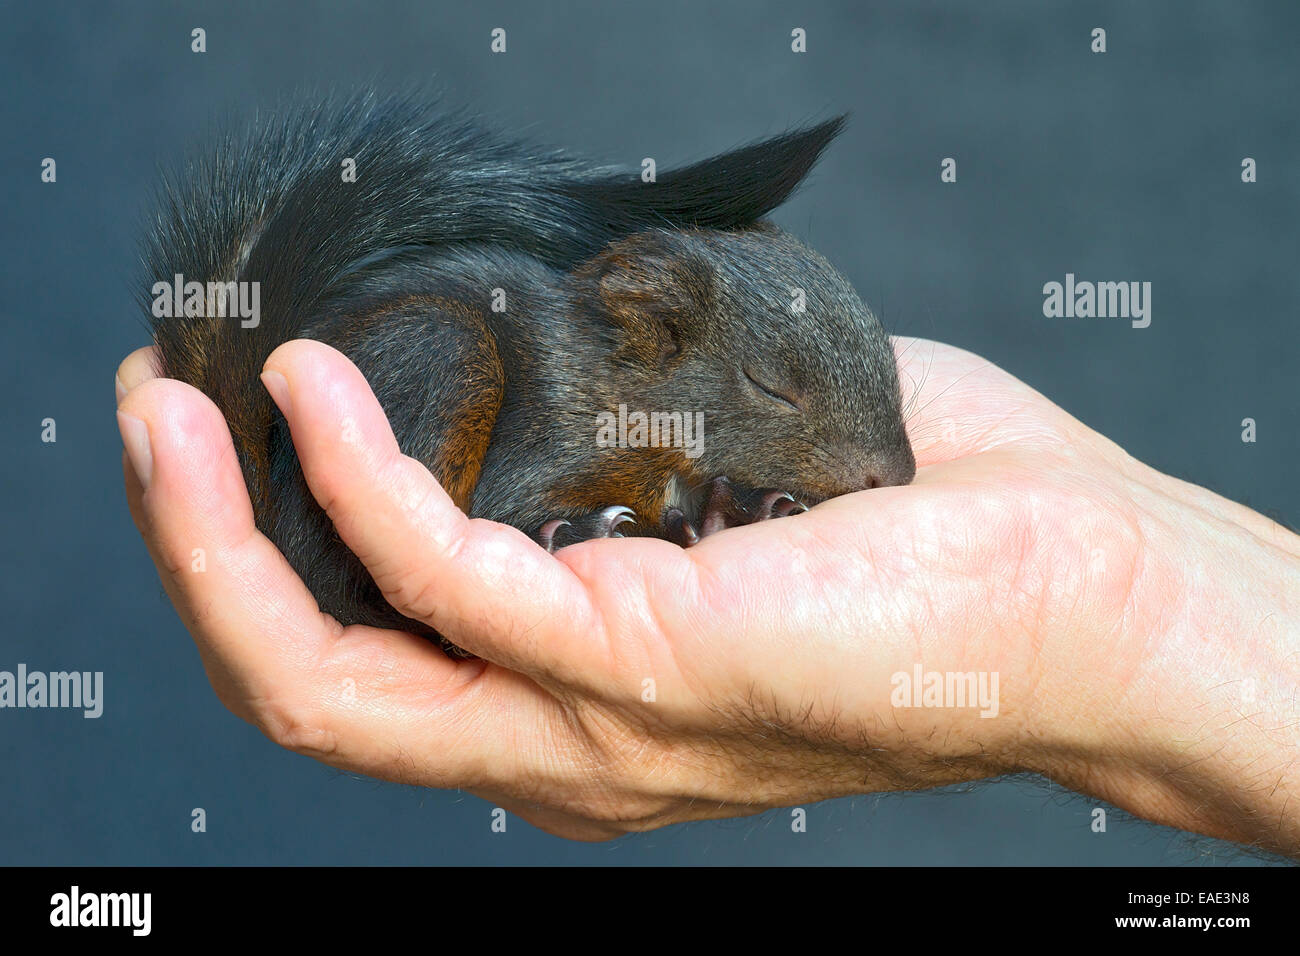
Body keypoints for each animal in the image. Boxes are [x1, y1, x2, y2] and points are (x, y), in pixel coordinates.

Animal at [142, 93, 915, 647]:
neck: (617, 395)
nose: (897, 476)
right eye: (769, 387)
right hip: (442, 351)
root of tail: (276, 509)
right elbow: (502, 507)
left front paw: (727, 512)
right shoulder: (546, 443)